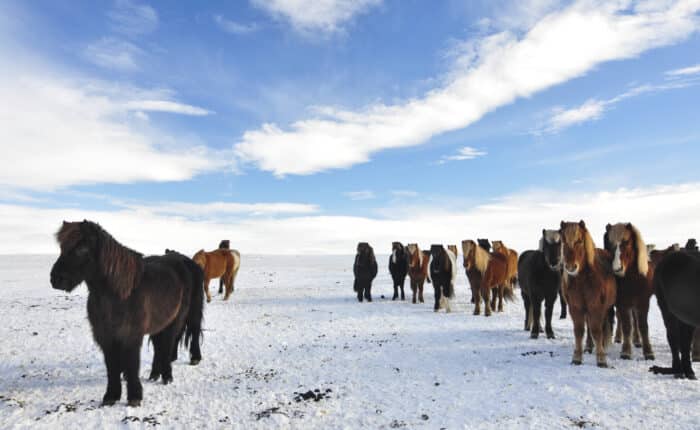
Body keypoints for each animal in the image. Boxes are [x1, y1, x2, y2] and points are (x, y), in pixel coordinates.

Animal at [48, 222, 202, 406]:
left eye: (82, 248)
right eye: (62, 247)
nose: (56, 279)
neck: (121, 293)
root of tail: (182, 260)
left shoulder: (130, 335)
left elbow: (132, 362)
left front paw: (134, 396)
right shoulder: (106, 336)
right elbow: (112, 366)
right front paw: (111, 396)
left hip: (179, 319)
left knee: (175, 342)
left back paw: (171, 374)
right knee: (160, 346)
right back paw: (155, 374)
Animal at [560, 222, 616, 366]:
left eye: (579, 241)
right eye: (563, 241)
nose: (571, 267)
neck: (583, 281)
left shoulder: (596, 307)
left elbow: (597, 330)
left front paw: (601, 358)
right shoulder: (576, 308)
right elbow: (579, 331)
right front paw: (577, 357)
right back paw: (589, 347)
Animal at [652, 249, 700, 380]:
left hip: (685, 317)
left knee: (684, 343)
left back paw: (689, 372)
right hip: (667, 311)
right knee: (673, 338)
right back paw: (678, 371)